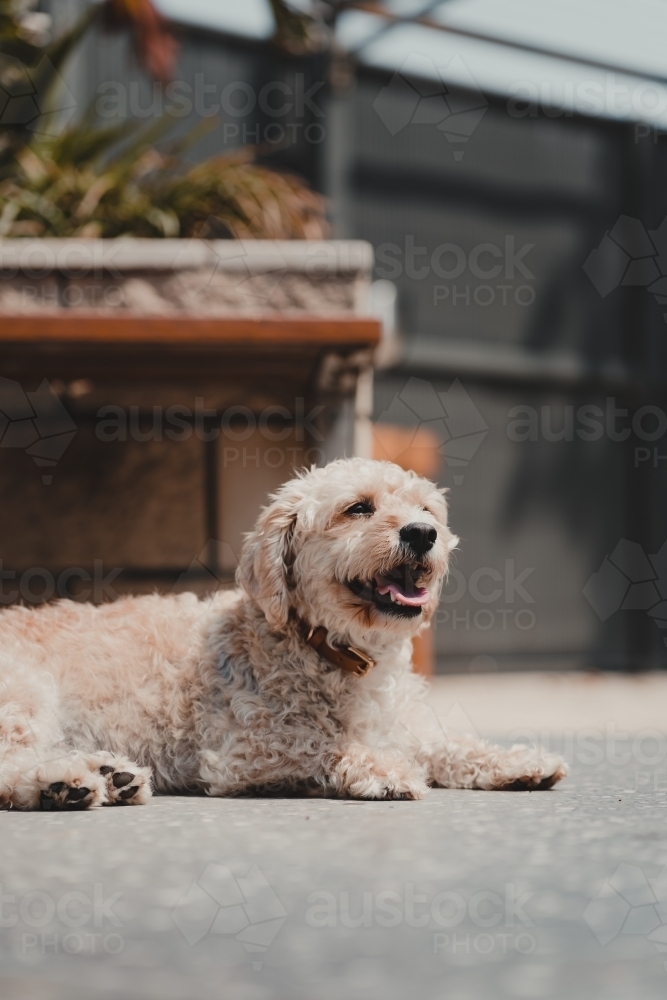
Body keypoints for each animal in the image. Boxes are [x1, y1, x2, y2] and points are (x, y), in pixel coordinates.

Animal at [0, 458, 568, 808]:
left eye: (426, 510)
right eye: (358, 508)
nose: (423, 534)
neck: (338, 652)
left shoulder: (403, 725)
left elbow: (450, 744)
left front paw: (517, 761)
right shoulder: (242, 751)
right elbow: (319, 743)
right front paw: (383, 769)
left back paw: (107, 777)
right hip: (23, 695)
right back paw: (61, 783)